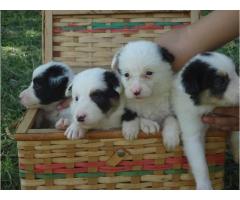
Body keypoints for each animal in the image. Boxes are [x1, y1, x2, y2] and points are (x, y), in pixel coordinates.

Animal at [172, 51, 239, 189]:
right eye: (219, 81)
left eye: (236, 71)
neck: (207, 106)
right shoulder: (192, 133)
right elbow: (200, 164)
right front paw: (204, 186)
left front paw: (238, 152)